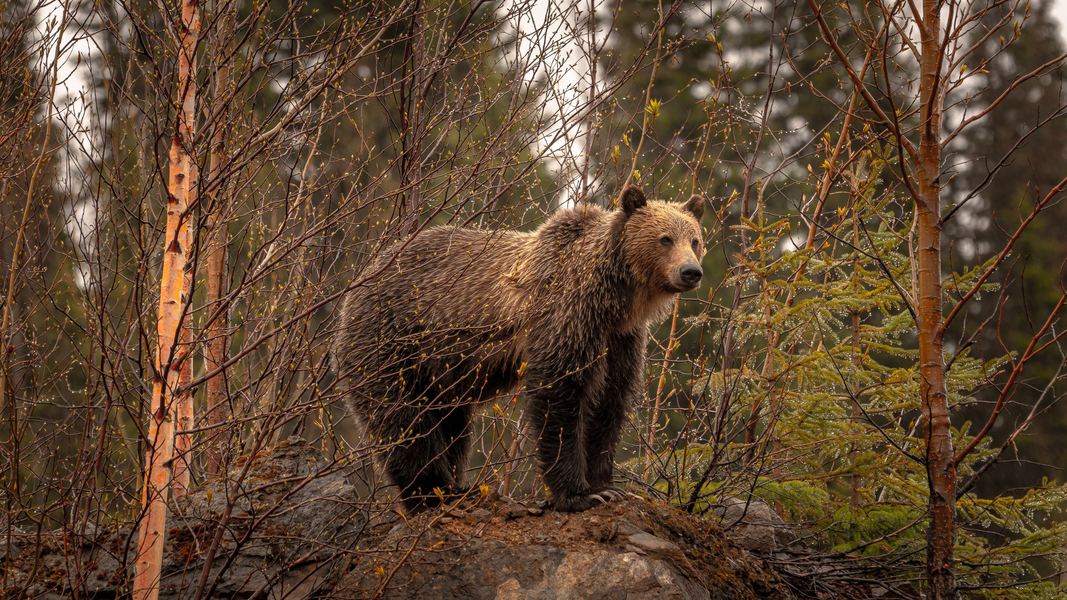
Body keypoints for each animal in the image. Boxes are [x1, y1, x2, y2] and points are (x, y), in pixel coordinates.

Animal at [332, 186, 706, 512]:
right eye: (665, 238)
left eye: (695, 240)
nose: (691, 271)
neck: (615, 298)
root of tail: (358, 282)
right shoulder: (565, 315)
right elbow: (560, 393)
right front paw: (577, 494)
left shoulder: (619, 339)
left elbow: (610, 400)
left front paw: (606, 486)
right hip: (392, 343)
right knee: (403, 419)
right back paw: (431, 492)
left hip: (443, 370)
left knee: (452, 423)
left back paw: (455, 486)